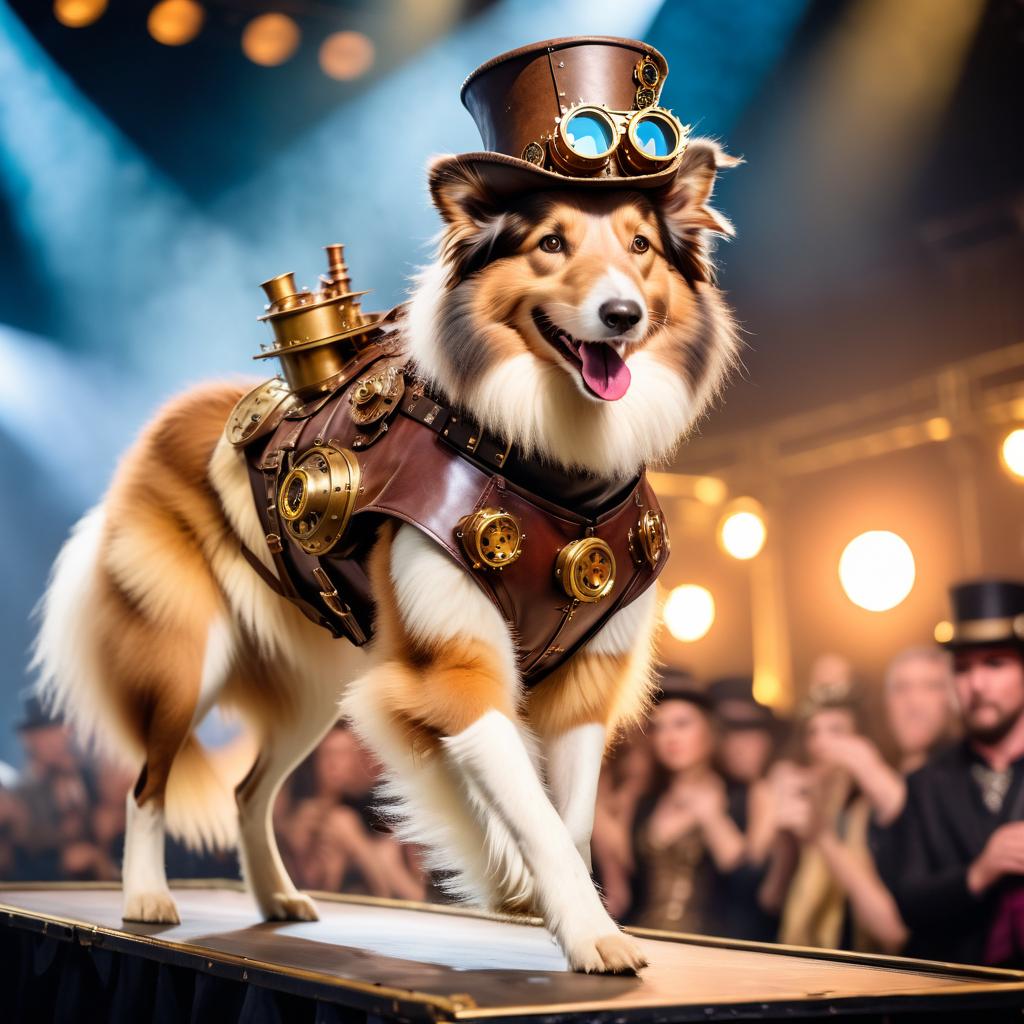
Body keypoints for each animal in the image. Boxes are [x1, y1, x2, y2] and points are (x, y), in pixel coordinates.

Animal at [29, 140, 737, 970]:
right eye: (551, 243)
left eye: (641, 246)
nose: (621, 314)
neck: (548, 471)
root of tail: (158, 428)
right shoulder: (453, 669)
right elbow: (527, 809)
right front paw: (583, 928)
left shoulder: (586, 680)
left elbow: (569, 819)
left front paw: (542, 900)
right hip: (185, 660)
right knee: (147, 784)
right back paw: (146, 899)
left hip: (314, 686)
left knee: (247, 792)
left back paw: (276, 899)